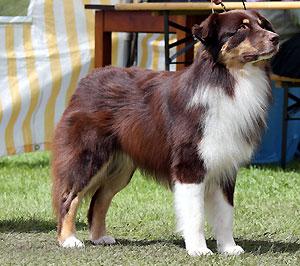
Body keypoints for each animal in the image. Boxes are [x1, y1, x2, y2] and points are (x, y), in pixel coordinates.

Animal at [51, 10, 278, 256]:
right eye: (241, 29)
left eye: (263, 25)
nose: (276, 38)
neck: (229, 81)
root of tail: (88, 79)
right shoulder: (190, 165)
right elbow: (195, 215)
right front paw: (199, 249)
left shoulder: (225, 165)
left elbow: (225, 214)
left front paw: (229, 248)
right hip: (90, 156)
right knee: (69, 196)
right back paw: (68, 239)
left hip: (121, 167)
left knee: (99, 199)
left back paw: (99, 237)